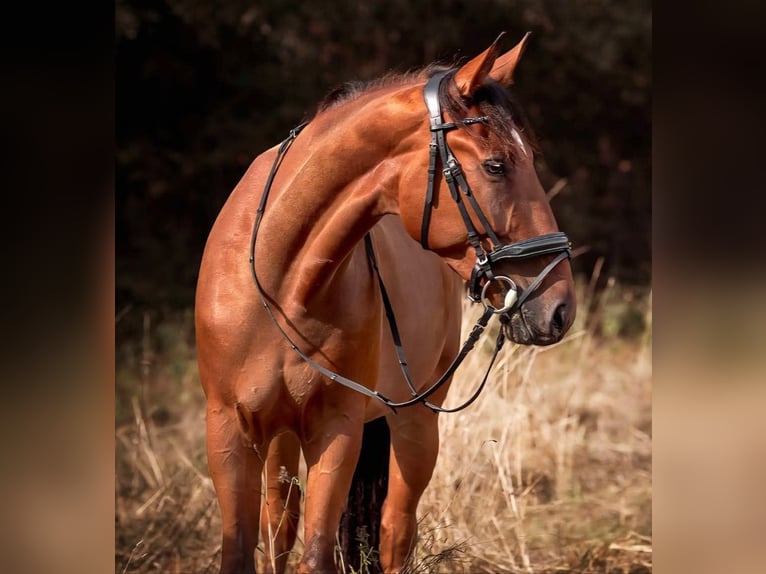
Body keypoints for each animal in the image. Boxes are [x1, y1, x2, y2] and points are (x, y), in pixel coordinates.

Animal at [195, 32, 576, 574]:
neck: (280, 276)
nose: (560, 308)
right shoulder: (229, 431)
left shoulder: (338, 430)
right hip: (282, 441)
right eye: (496, 166)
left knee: (396, 531)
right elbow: (248, 547)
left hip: (415, 425)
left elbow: (319, 553)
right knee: (280, 528)